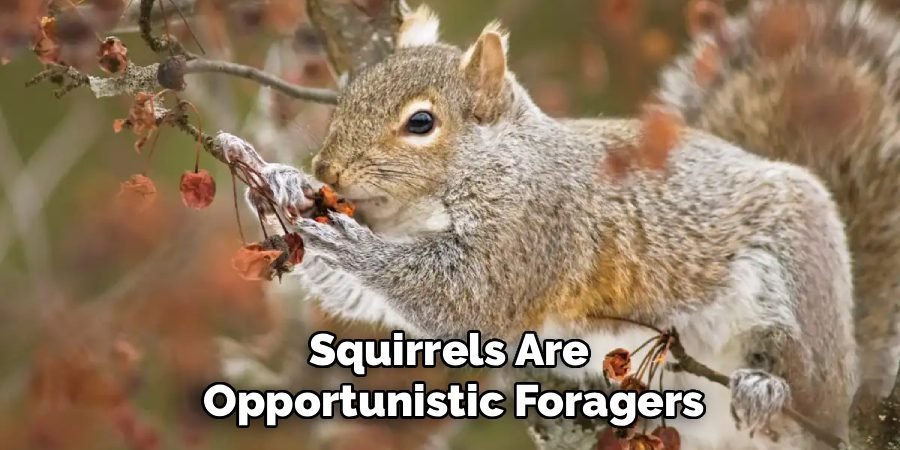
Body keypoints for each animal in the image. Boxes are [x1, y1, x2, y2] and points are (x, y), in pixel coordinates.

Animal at [246, 1, 898, 448]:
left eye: (421, 123)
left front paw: (344, 238)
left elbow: (469, 298)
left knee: (806, 379)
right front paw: (280, 185)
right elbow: (361, 297)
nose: (325, 168)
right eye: (349, 93)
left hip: (797, 282)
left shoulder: (536, 224)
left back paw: (769, 388)